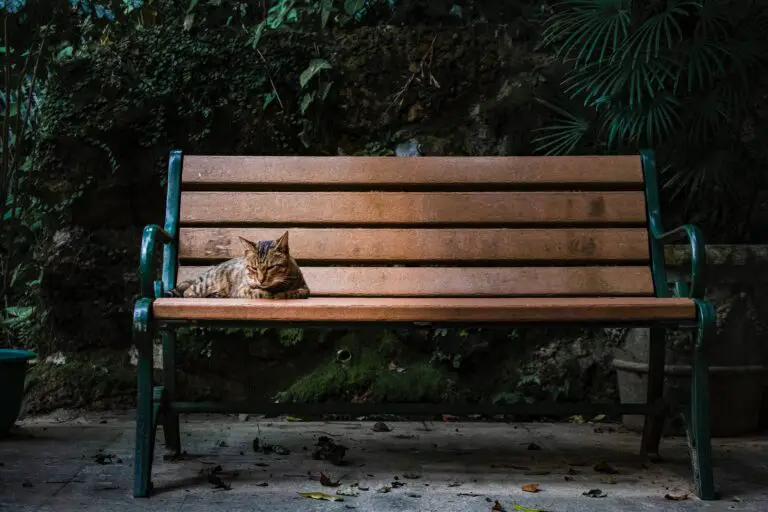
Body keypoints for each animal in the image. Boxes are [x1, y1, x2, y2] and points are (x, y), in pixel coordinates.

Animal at [166, 230, 310, 298]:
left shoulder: (304, 289)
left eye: (271, 267)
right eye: (253, 268)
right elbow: (258, 292)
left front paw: (281, 293)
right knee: (188, 292)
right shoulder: (242, 288)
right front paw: (267, 293)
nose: (261, 280)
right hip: (205, 283)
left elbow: (293, 292)